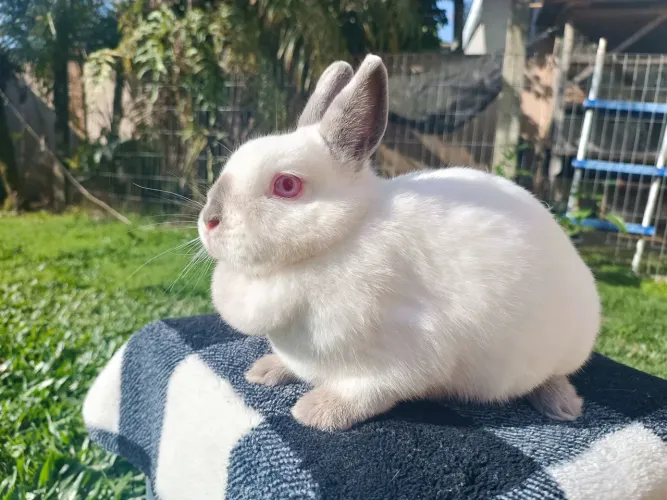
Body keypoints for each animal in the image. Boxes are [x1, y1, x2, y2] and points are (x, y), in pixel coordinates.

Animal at [198, 55, 601, 432]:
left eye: (286, 185)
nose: (209, 220)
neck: (340, 239)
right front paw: (265, 370)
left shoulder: (402, 358)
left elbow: (368, 393)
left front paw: (316, 411)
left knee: (554, 375)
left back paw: (563, 406)